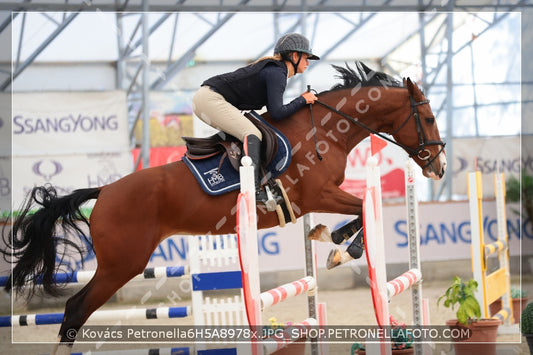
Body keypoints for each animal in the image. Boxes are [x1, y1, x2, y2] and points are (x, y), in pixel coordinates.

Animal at [3, 62, 444, 355]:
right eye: (426, 117)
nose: (438, 167)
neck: (323, 130)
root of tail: (105, 191)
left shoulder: (320, 198)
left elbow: (357, 215)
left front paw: (330, 240)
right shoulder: (318, 195)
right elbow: (362, 212)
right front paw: (342, 249)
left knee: (76, 311)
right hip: (121, 264)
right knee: (76, 309)